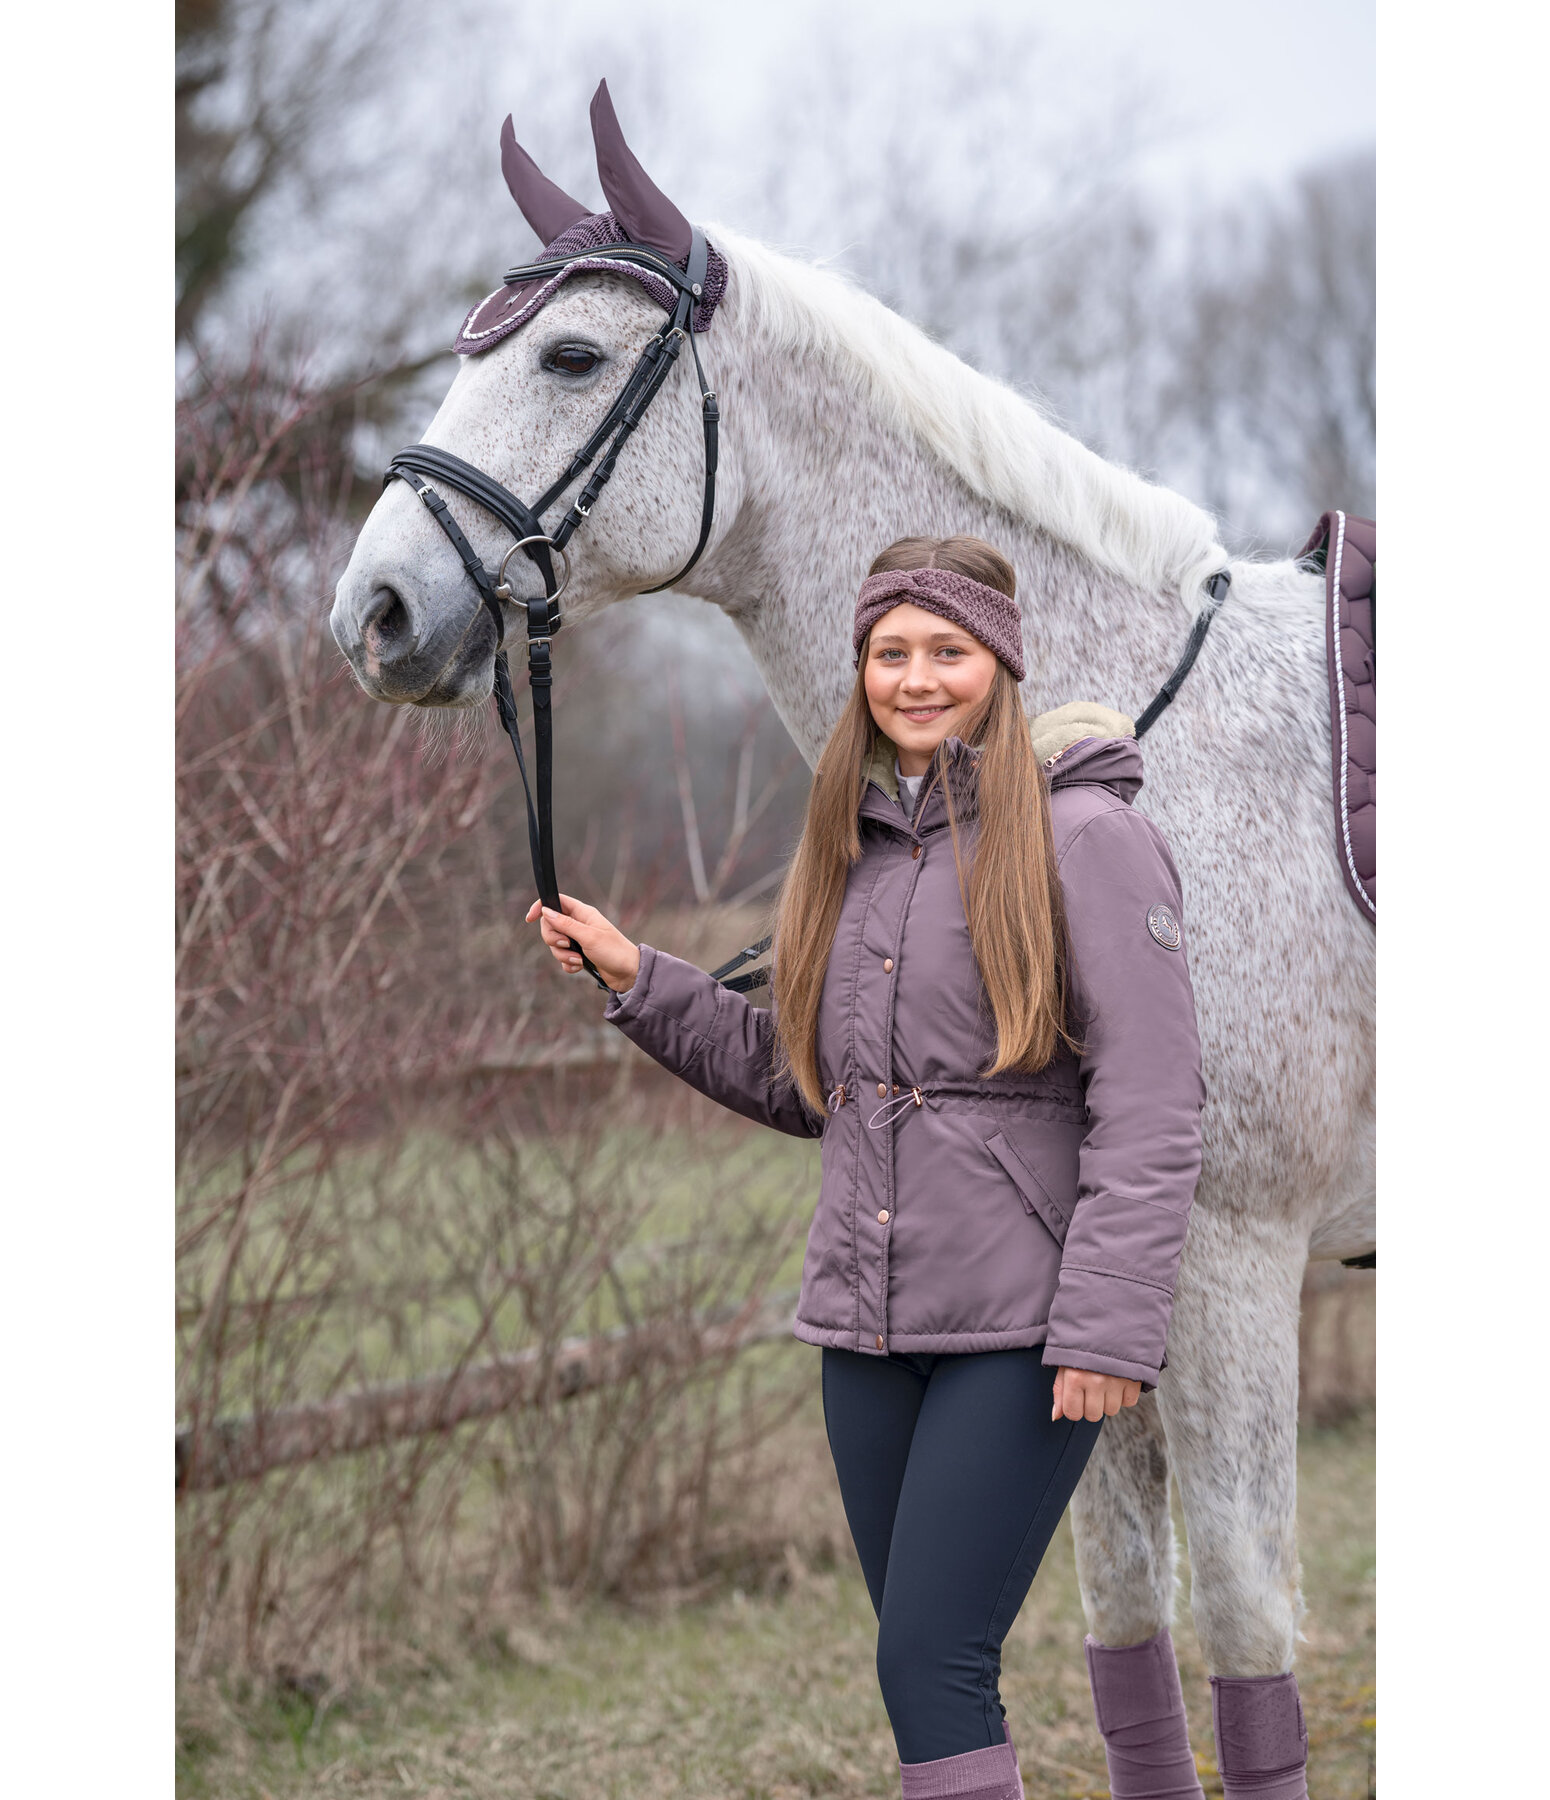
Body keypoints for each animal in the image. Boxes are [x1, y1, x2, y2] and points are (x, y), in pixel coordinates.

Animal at [329, 144, 1375, 1756]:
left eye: (571, 357)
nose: (372, 614)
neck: (1126, 752)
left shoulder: (1228, 1266)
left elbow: (1247, 1627)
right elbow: (1122, 1620)